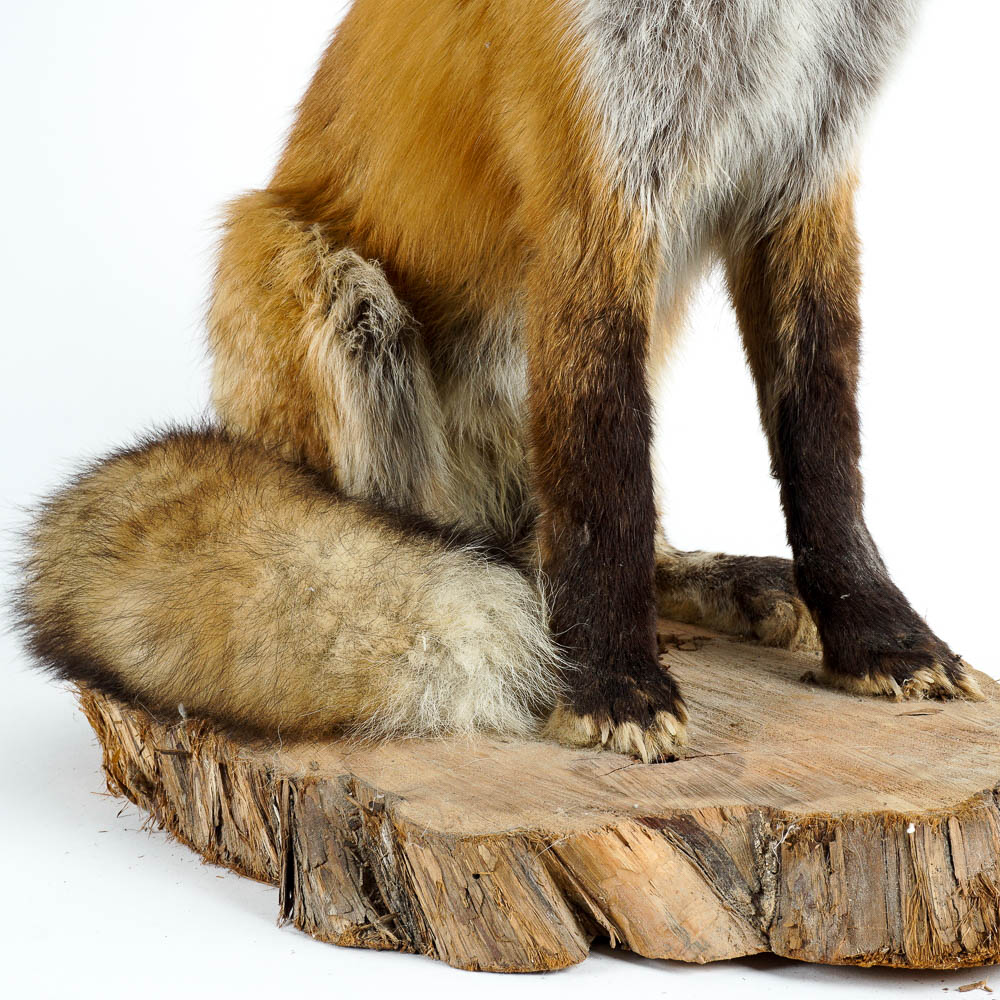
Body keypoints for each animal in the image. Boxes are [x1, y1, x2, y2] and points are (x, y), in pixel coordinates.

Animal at [18, 0, 982, 763]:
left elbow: (826, 456)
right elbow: (606, 481)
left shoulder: (809, 172)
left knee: (565, 542)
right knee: (457, 550)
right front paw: (609, 683)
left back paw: (713, 581)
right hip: (326, 290)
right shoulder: (591, 187)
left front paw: (880, 637)